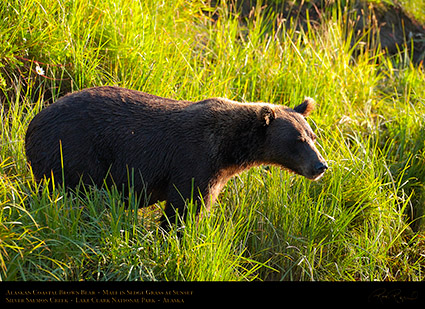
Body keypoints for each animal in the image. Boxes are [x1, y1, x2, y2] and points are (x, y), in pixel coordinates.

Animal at [24, 85, 326, 230]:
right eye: (297, 140)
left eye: (313, 136)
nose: (320, 166)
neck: (228, 151)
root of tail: (33, 123)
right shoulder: (194, 162)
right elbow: (184, 208)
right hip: (73, 152)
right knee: (74, 196)